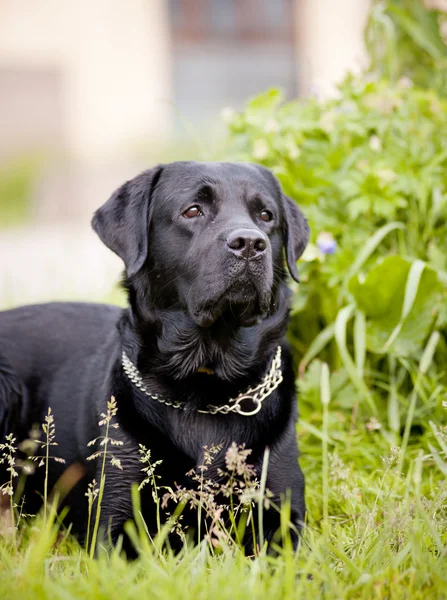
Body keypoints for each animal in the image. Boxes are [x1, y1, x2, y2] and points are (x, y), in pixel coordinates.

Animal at [0, 161, 308, 552]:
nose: (251, 244)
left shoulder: (283, 510)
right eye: (192, 210)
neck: (205, 385)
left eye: (266, 216)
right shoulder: (114, 518)